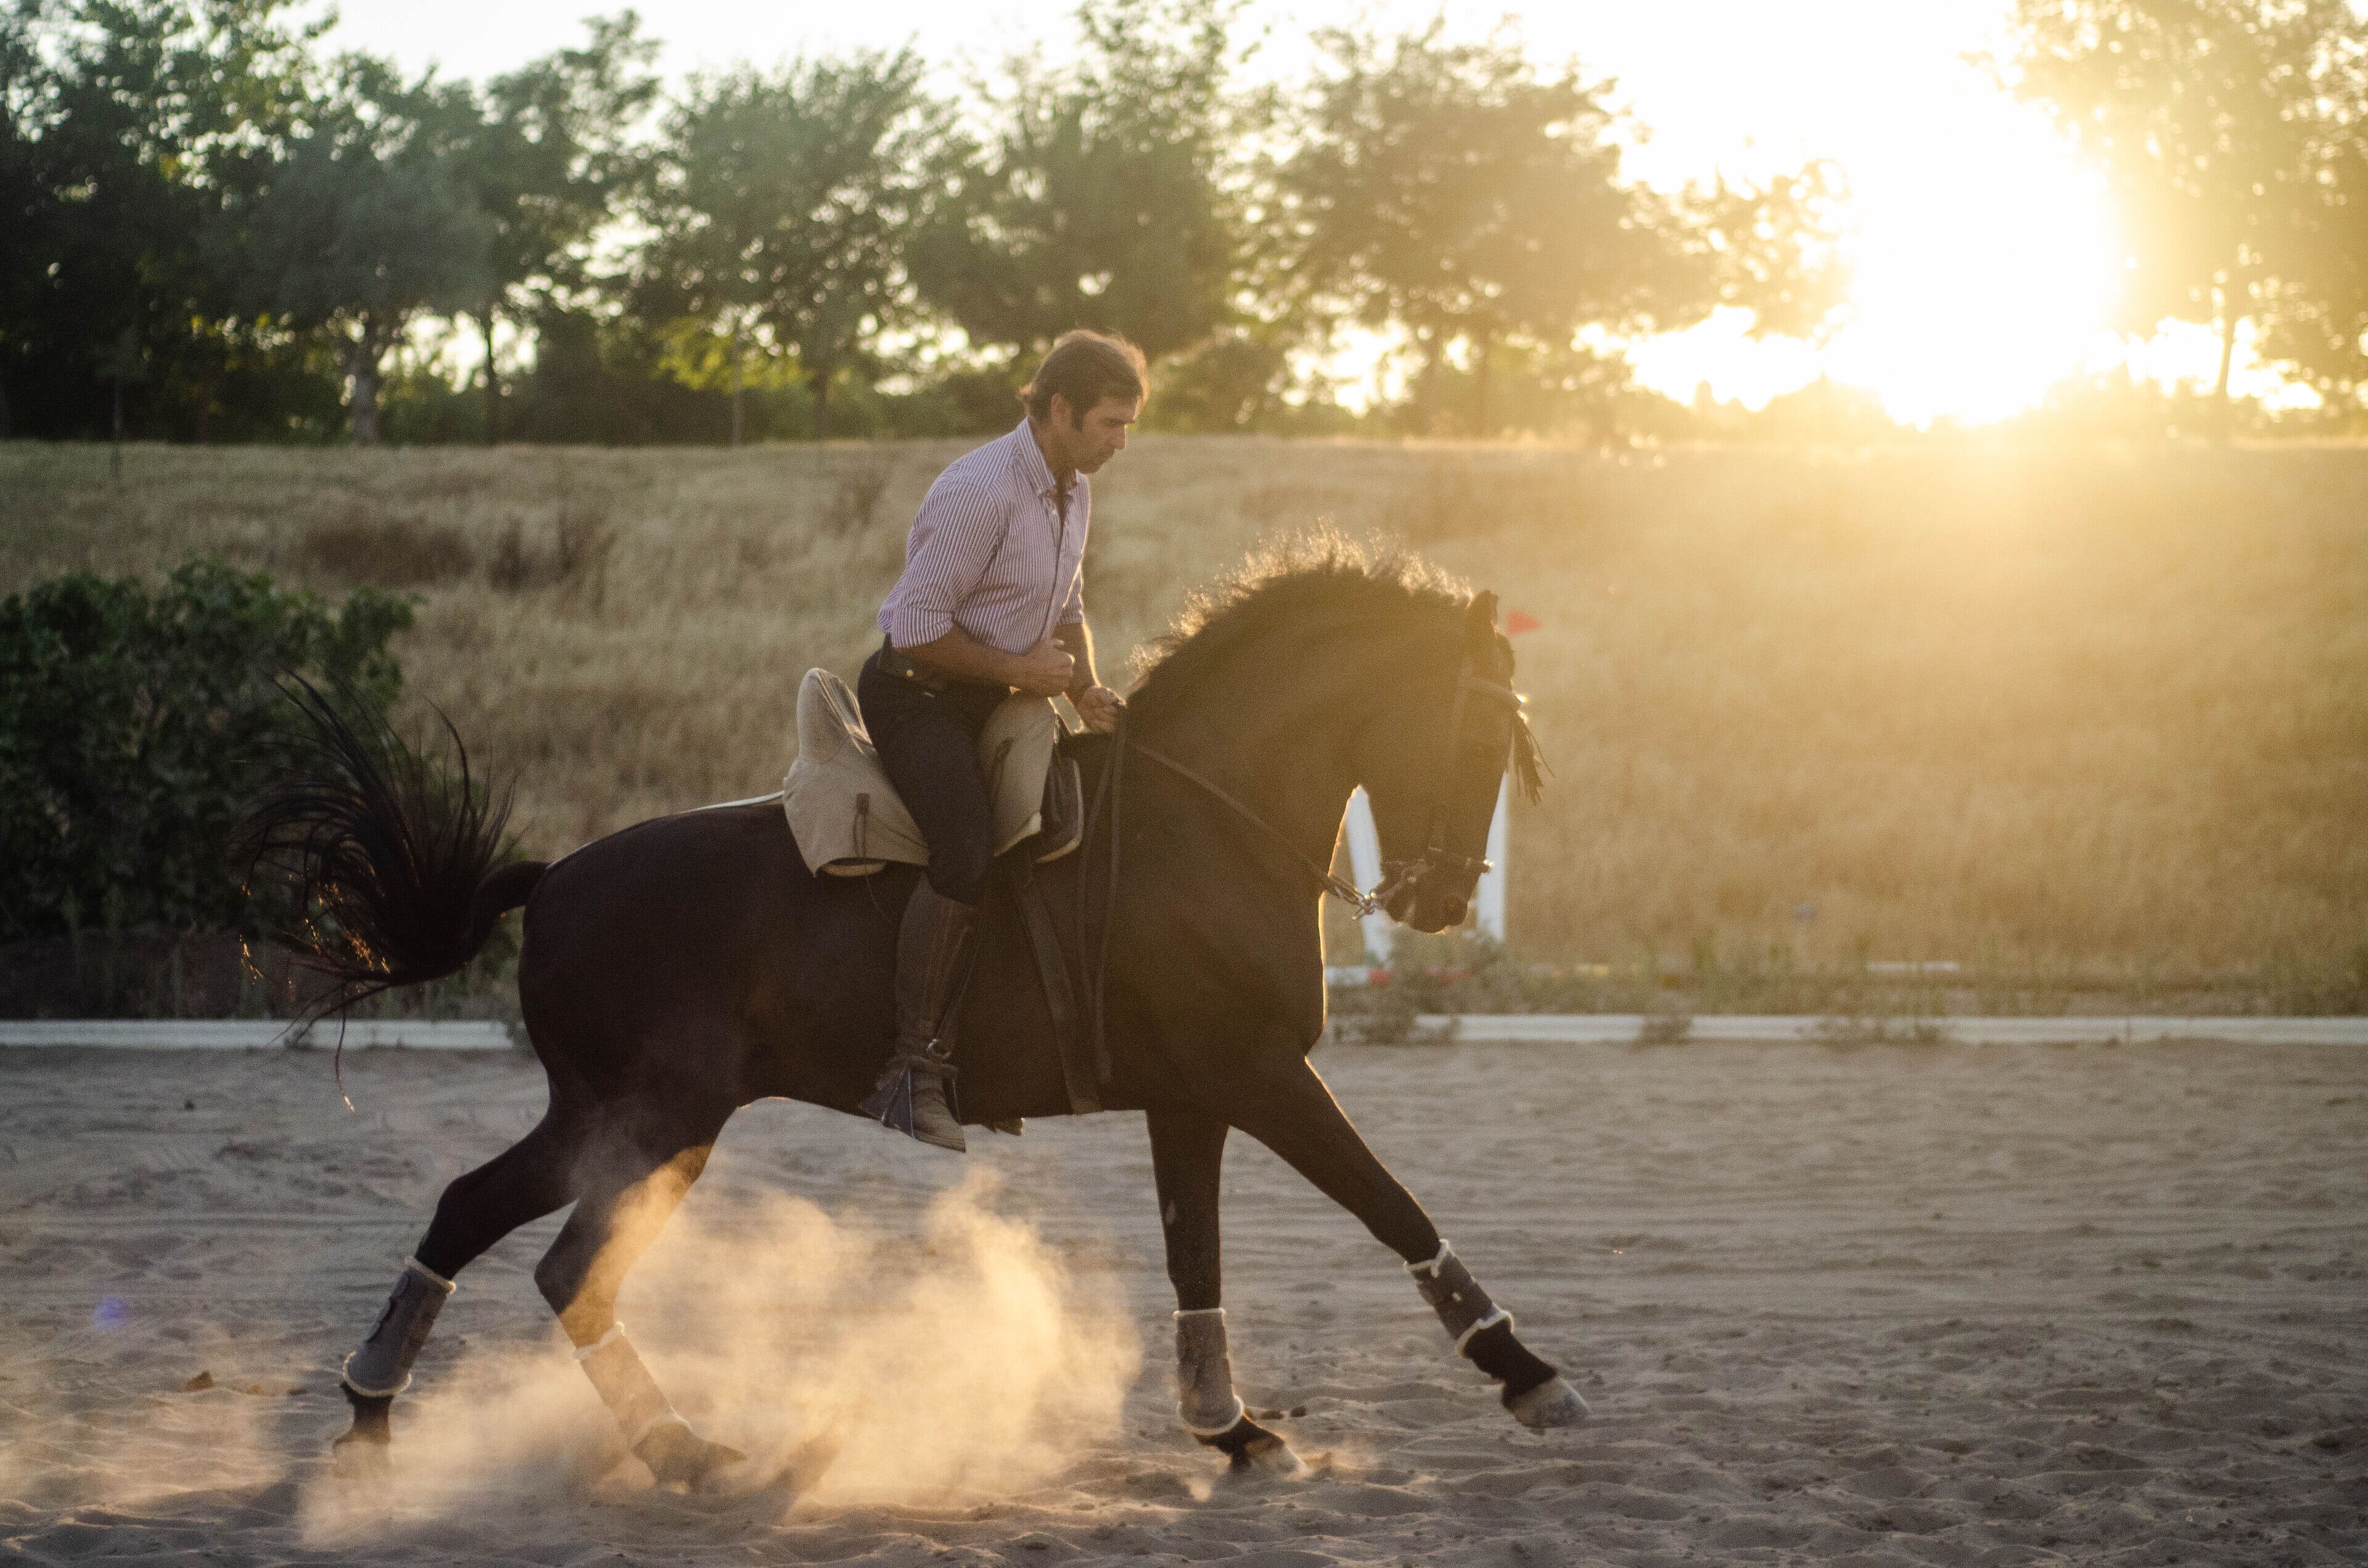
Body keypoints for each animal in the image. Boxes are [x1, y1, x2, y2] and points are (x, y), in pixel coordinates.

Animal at [245, 540, 1588, 1495]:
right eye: (1479, 727)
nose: (1439, 899)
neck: (1201, 819)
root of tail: (555, 877)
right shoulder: (1260, 1075)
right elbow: (1392, 1205)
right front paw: (1529, 1376)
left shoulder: (1192, 1098)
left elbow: (1195, 1253)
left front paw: (1233, 1426)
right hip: (656, 1118)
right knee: (568, 1264)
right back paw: (677, 1450)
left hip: (617, 1119)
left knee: (481, 1214)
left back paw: (375, 1416)